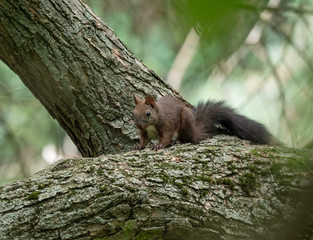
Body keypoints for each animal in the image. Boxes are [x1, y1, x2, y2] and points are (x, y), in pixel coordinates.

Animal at [133, 94, 274, 150]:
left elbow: (166, 136)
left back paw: (179, 141)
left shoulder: (166, 123)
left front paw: (159, 145)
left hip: (185, 120)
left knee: (189, 139)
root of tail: (195, 132)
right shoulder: (144, 132)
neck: (150, 126)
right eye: (133, 113)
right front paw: (139, 146)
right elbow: (144, 139)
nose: (139, 125)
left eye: (148, 113)